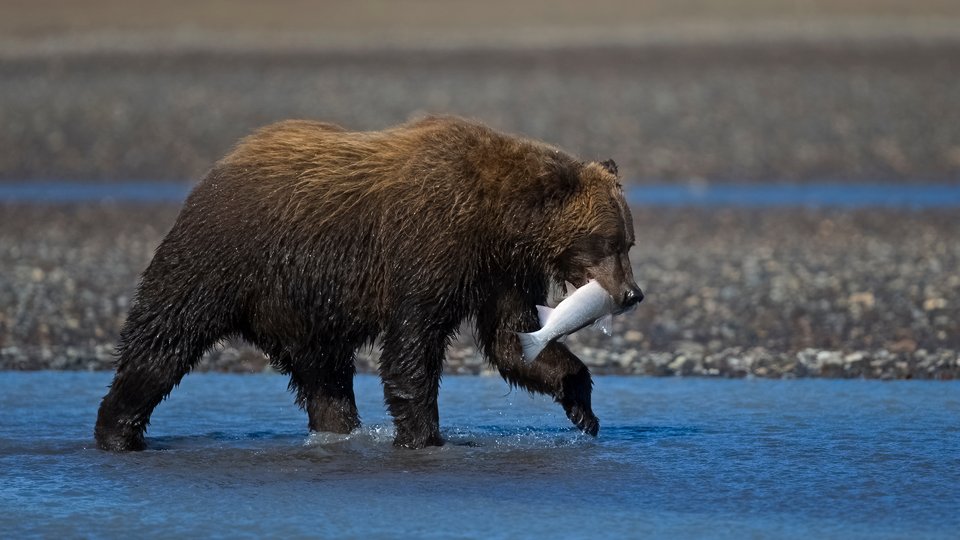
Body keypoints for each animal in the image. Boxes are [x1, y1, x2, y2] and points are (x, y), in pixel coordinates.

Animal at [94, 115, 643, 451]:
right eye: (609, 242)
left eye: (628, 242)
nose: (631, 294)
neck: (498, 225)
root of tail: (216, 168)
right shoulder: (429, 247)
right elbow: (412, 346)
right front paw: (425, 437)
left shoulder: (500, 274)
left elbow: (511, 342)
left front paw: (582, 407)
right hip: (223, 255)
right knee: (164, 339)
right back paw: (117, 431)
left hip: (305, 308)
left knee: (324, 377)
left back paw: (338, 431)